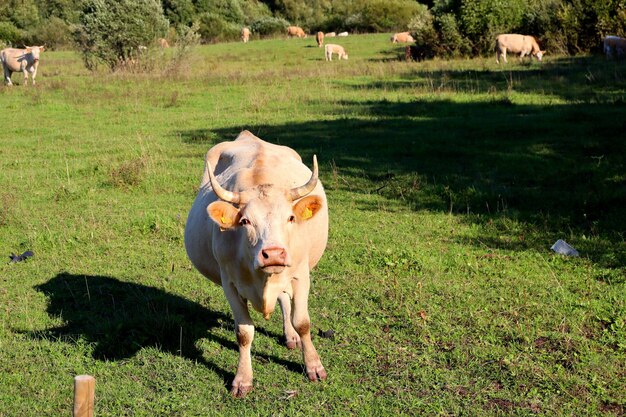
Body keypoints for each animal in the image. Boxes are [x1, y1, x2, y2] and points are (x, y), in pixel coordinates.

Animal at [184, 130, 326, 396]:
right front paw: (242, 378)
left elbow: (302, 322)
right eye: (245, 221)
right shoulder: (229, 283)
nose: (274, 254)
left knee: (284, 300)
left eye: (290, 218)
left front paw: (313, 365)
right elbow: (244, 332)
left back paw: (291, 336)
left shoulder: (301, 275)